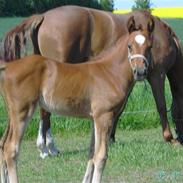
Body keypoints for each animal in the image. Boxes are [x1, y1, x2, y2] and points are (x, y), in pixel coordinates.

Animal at [0, 5, 182, 157]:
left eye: (150, 47)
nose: (180, 138)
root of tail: (44, 16)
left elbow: (120, 109)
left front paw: (110, 138)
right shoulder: (157, 74)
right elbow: (161, 106)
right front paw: (170, 138)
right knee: (45, 111)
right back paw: (46, 148)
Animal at [0, 16, 154, 182]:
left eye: (149, 47)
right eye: (129, 46)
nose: (140, 72)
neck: (110, 72)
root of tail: (9, 66)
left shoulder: (95, 118)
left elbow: (91, 154)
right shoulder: (104, 116)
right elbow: (101, 156)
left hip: (12, 115)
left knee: (2, 144)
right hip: (22, 113)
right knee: (10, 149)